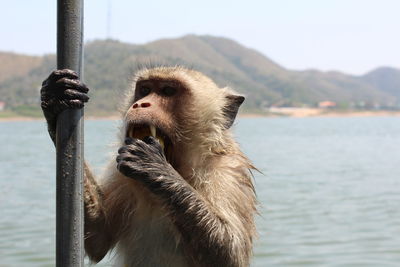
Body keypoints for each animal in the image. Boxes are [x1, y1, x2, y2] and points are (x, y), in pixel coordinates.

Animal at [40, 66, 258, 266]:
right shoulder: (120, 172)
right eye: (145, 89)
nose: (141, 103)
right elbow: (99, 237)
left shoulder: (228, 171)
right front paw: (56, 96)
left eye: (168, 91)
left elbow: (230, 254)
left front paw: (153, 166)